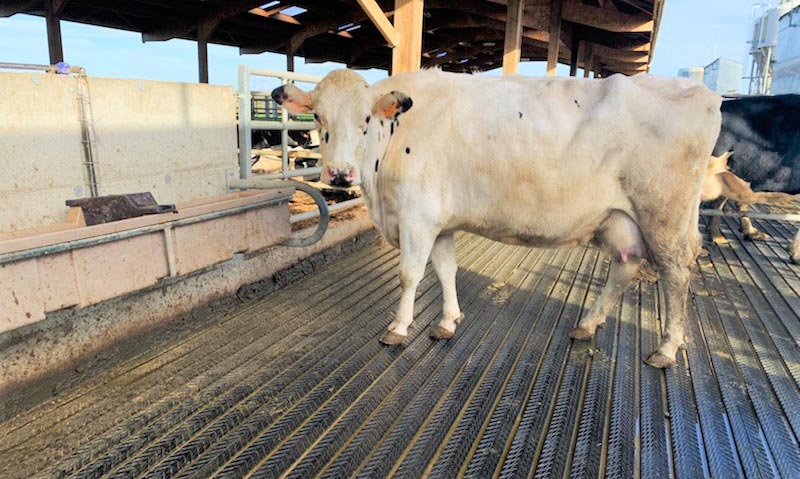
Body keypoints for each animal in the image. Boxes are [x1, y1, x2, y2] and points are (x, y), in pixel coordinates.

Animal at [272, 68, 720, 368]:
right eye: (317, 117)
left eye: (365, 119)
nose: (340, 174)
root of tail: (702, 93)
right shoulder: (440, 221)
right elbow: (446, 269)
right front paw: (448, 321)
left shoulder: (417, 216)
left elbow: (410, 274)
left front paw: (399, 328)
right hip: (622, 218)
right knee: (625, 266)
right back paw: (588, 324)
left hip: (664, 215)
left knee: (676, 272)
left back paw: (666, 347)